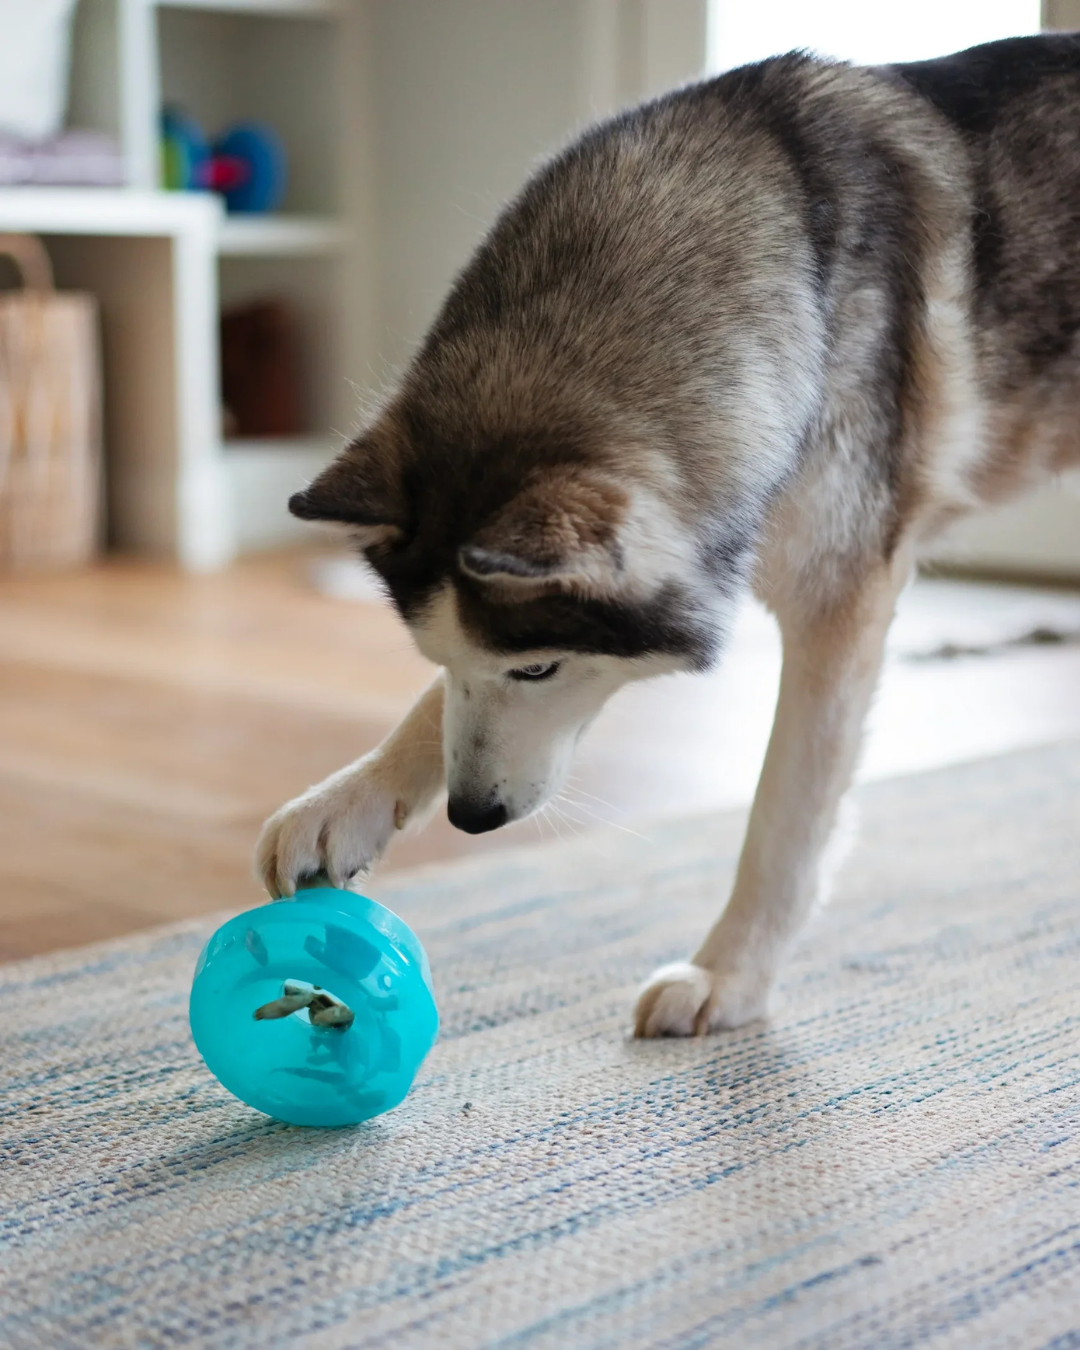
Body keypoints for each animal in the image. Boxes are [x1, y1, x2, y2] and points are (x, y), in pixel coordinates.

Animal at [259, 36, 1080, 1036]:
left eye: (540, 668)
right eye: (440, 655)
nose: (472, 819)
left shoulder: (841, 601)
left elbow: (785, 814)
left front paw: (730, 974)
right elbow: (430, 708)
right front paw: (351, 800)